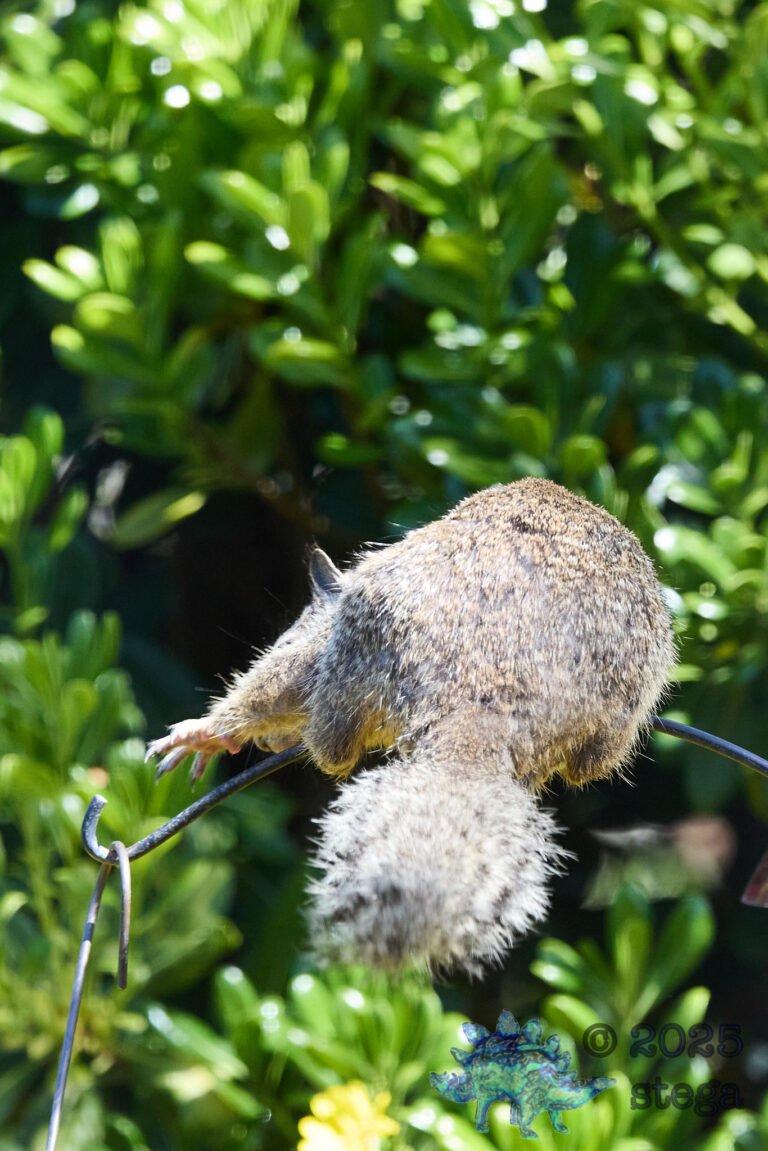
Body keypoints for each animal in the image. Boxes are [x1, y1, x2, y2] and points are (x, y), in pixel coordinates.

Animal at [146, 478, 676, 976]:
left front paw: (210, 733)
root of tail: (483, 703)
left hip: (356, 652)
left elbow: (275, 687)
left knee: (331, 744)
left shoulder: (318, 648)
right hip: (611, 726)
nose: (270, 742)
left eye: (288, 636)